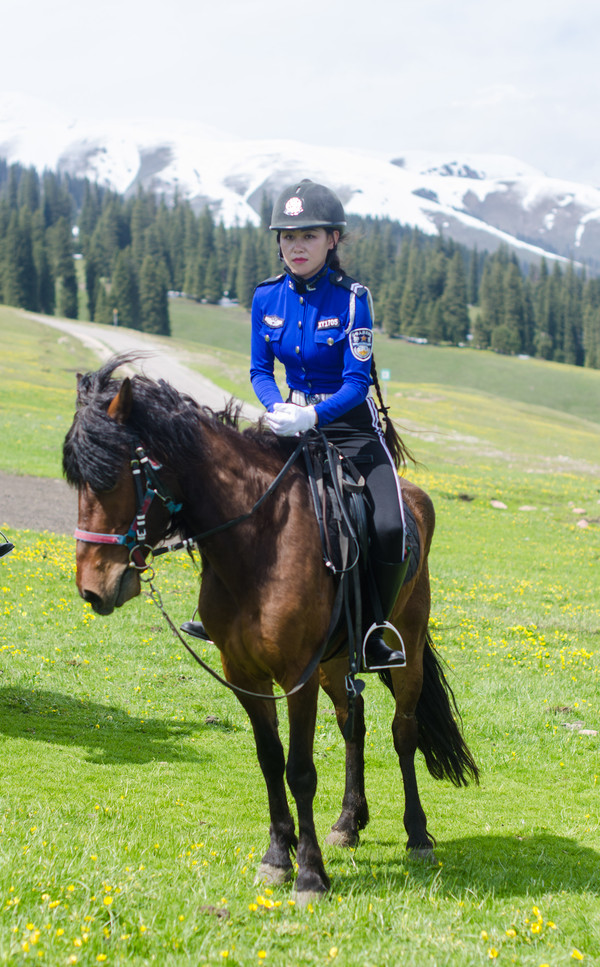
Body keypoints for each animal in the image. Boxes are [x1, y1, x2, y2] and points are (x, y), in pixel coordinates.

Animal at [64, 360, 478, 904]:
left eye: (112, 477)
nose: (93, 588)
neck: (258, 543)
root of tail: (415, 497)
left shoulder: (296, 677)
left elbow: (299, 771)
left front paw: (310, 875)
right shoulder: (246, 675)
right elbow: (269, 760)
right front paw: (278, 857)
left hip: (403, 645)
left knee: (403, 732)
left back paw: (417, 835)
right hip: (334, 661)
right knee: (354, 722)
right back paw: (349, 822)